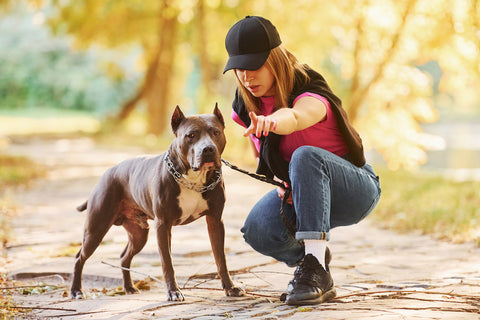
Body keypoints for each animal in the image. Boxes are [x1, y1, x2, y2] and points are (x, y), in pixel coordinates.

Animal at [71, 104, 244, 300]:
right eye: (191, 135)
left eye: (216, 132)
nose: (207, 149)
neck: (193, 179)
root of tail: (106, 174)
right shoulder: (163, 225)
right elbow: (167, 262)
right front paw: (173, 292)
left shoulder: (215, 221)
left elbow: (220, 258)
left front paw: (230, 287)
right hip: (96, 228)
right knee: (79, 257)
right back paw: (76, 291)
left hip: (139, 234)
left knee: (124, 257)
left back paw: (129, 287)